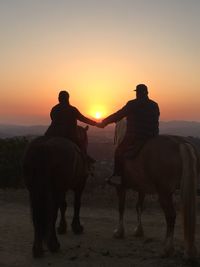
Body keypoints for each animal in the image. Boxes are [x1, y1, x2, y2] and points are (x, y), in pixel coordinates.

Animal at [23, 125, 91, 258]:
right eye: (85, 139)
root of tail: (43, 147)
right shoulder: (79, 185)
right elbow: (76, 205)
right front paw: (76, 227)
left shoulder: (62, 189)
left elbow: (63, 206)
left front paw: (62, 227)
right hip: (54, 189)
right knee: (51, 213)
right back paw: (53, 244)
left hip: (33, 190)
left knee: (37, 215)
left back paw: (37, 249)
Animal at [110, 120, 199, 260]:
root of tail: (180, 143)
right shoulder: (142, 189)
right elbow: (139, 207)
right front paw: (139, 231)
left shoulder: (121, 188)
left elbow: (121, 208)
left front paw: (119, 232)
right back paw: (189, 251)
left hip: (164, 194)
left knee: (171, 216)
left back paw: (167, 249)